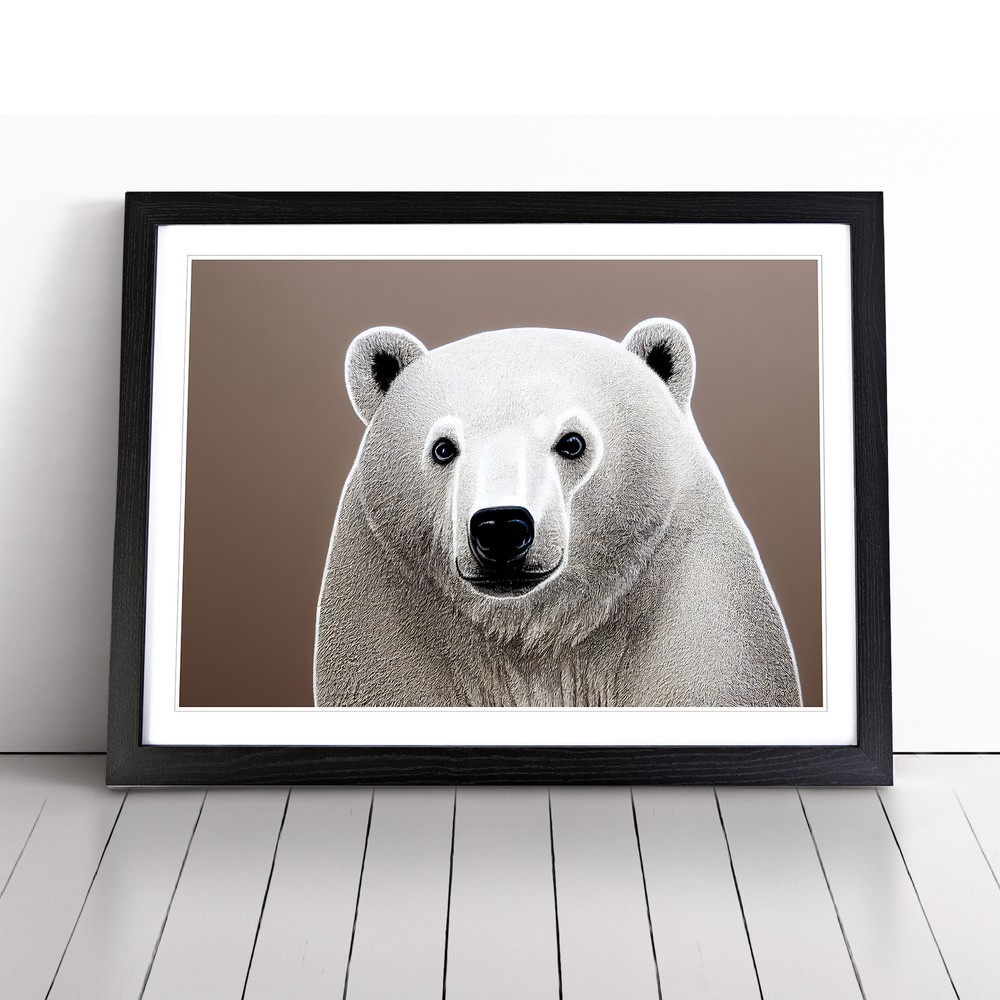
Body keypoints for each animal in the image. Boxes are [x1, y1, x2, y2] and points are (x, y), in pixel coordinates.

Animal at [313, 319, 802, 708]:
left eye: (572, 442)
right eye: (443, 448)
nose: (502, 527)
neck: (542, 628)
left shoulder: (691, 596)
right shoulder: (389, 606)